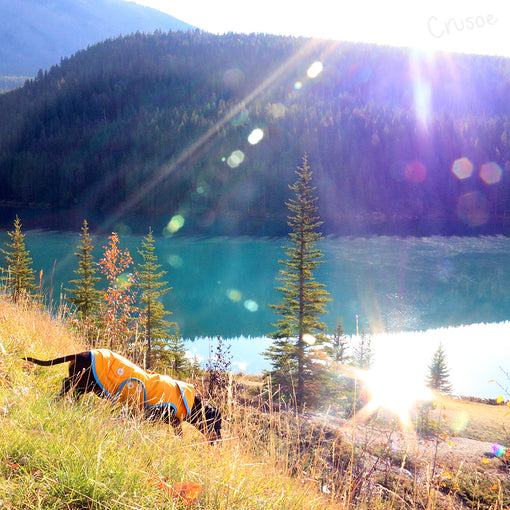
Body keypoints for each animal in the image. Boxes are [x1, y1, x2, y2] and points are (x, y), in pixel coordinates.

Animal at [24, 350, 221, 442]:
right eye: (218, 425)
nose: (219, 441)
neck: (187, 399)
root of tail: (82, 353)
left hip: (84, 385)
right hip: (83, 381)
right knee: (66, 385)